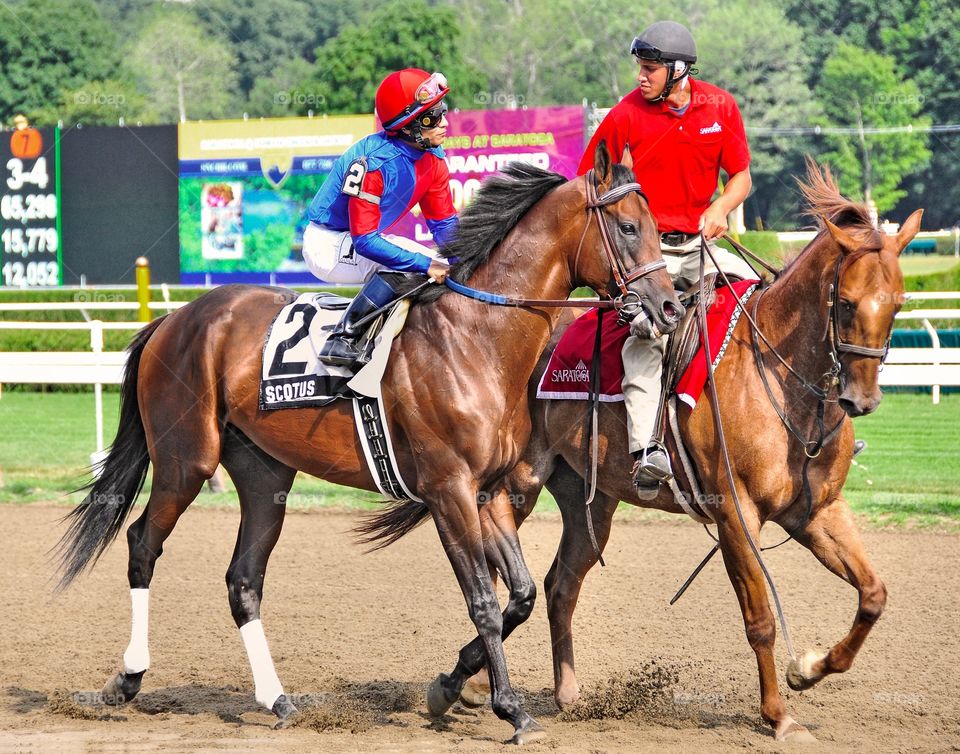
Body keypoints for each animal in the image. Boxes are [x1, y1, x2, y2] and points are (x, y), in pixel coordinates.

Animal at [56, 141, 684, 740]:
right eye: (628, 227)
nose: (670, 307)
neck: (476, 338)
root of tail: (173, 319)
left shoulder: (489, 489)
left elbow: (522, 594)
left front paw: (450, 687)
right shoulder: (448, 490)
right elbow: (483, 600)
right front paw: (511, 711)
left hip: (264, 474)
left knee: (243, 579)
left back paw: (277, 700)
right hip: (186, 459)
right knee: (142, 544)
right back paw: (127, 678)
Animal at [362, 163, 924, 740]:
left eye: (898, 304)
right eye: (847, 303)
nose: (862, 399)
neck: (777, 375)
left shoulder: (817, 511)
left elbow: (873, 595)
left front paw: (809, 668)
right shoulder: (735, 514)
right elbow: (761, 619)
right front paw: (779, 715)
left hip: (590, 501)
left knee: (559, 583)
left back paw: (557, 690)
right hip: (510, 484)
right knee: (503, 579)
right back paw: (471, 686)